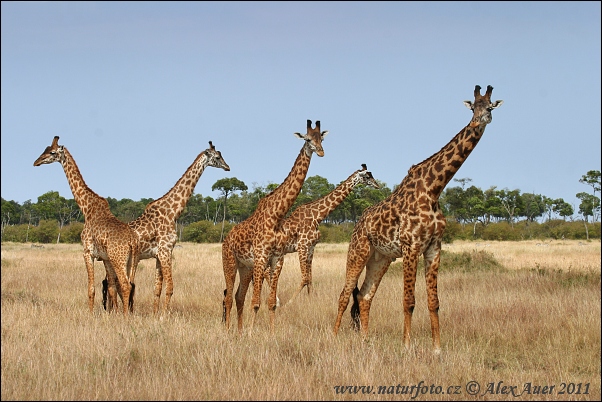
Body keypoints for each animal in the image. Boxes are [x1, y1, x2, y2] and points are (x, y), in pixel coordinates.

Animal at [33, 137, 139, 316]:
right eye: (45, 149)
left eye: (52, 152)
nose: (36, 162)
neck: (86, 208)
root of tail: (133, 241)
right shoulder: (105, 257)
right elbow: (111, 287)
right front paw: (112, 314)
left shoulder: (87, 252)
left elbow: (91, 289)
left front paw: (90, 315)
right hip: (132, 260)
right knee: (130, 285)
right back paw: (127, 314)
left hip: (119, 258)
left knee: (125, 285)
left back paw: (126, 317)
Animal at [101, 141, 230, 314]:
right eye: (217, 157)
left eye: (221, 155)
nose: (228, 167)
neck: (172, 212)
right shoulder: (166, 251)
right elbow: (170, 288)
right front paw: (164, 315)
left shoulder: (159, 255)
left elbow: (157, 288)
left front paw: (155, 314)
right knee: (112, 284)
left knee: (110, 283)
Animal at [220, 119, 326, 332]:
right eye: (308, 139)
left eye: (322, 138)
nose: (320, 152)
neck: (277, 215)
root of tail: (226, 240)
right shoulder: (261, 258)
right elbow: (256, 303)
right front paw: (252, 333)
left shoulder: (277, 259)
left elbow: (270, 302)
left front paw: (271, 333)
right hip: (230, 263)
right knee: (228, 298)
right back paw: (228, 331)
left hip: (245, 268)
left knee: (238, 296)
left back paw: (239, 331)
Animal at [274, 162, 378, 304]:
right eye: (367, 176)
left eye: (371, 175)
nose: (377, 185)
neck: (317, 216)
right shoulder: (302, 246)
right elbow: (305, 277)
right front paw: (290, 302)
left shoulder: (311, 247)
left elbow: (309, 278)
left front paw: (311, 300)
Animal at [332, 85, 502, 352]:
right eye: (473, 107)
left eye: (490, 106)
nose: (479, 120)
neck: (434, 189)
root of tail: (358, 223)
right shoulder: (411, 246)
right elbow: (409, 300)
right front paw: (406, 346)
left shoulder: (433, 246)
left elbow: (434, 302)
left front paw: (437, 348)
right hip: (358, 251)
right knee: (344, 293)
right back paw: (334, 337)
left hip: (381, 258)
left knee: (364, 295)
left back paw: (365, 340)